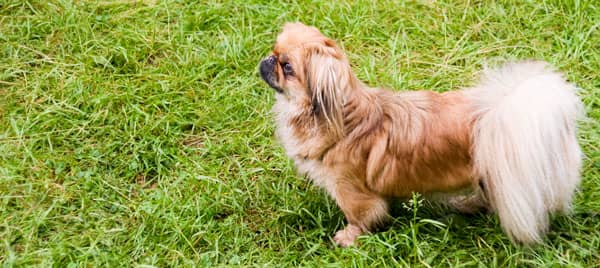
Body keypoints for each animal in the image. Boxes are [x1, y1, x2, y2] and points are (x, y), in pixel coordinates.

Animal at [256, 23, 580, 247]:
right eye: (274, 51)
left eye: (288, 67)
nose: (268, 60)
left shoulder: (351, 191)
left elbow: (360, 217)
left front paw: (348, 238)